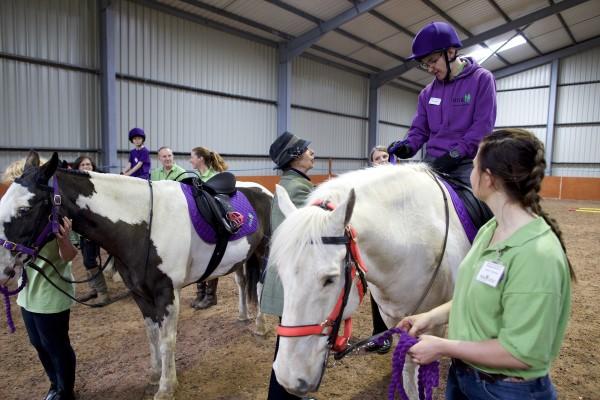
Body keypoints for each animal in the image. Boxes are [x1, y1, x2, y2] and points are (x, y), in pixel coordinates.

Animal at [270, 163, 472, 400]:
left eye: (329, 279)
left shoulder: (433, 326)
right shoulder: (397, 321)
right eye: (281, 274)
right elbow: (408, 375)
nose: (288, 376)